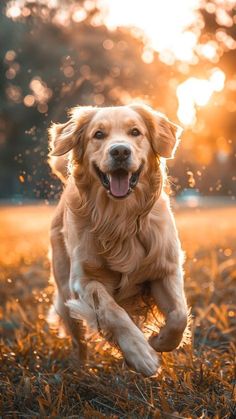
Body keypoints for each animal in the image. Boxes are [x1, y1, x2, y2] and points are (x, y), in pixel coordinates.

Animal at [48, 102, 188, 378]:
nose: (120, 151)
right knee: (78, 339)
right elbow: (112, 311)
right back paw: (80, 369)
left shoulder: (165, 268)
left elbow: (179, 315)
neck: (119, 218)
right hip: (64, 290)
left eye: (135, 132)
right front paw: (141, 354)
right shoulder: (83, 279)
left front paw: (159, 341)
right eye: (98, 135)